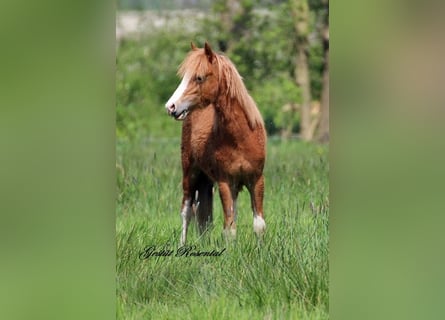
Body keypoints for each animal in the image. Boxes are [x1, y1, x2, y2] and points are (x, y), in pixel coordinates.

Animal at [165, 42, 266, 245]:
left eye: (199, 77)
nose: (171, 107)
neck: (241, 138)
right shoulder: (225, 182)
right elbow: (229, 229)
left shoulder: (256, 179)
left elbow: (258, 225)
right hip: (190, 173)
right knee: (187, 211)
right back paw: (182, 246)